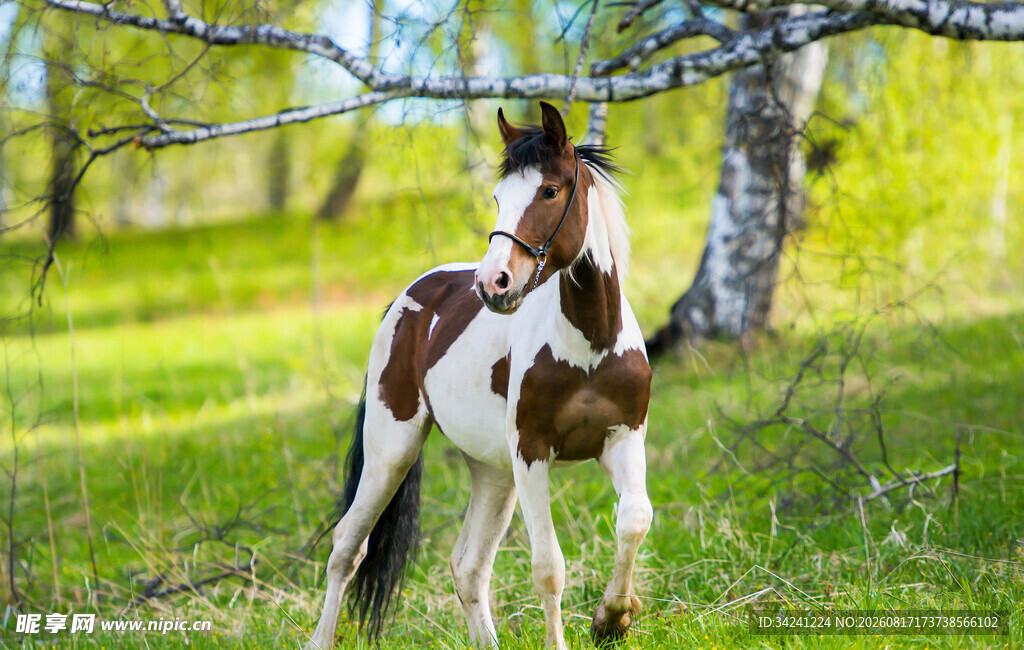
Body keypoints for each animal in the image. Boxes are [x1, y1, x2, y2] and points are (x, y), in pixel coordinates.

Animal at [307, 101, 653, 650]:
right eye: (497, 197)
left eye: (549, 190)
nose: (494, 284)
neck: (591, 348)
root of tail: (409, 298)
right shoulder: (532, 453)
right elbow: (548, 567)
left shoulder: (623, 439)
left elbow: (634, 521)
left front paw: (612, 618)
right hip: (392, 452)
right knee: (347, 548)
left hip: (492, 473)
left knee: (468, 566)